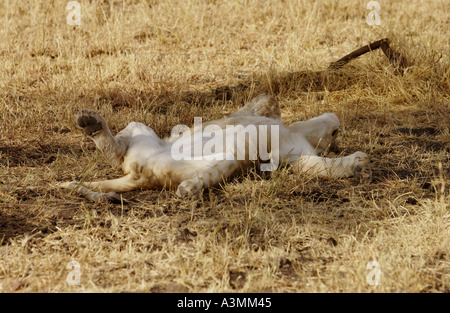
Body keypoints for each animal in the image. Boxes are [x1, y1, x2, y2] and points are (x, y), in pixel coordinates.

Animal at [62, 94, 372, 200]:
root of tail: (141, 176)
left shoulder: (293, 155)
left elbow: (321, 165)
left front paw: (357, 165)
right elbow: (268, 102)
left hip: (227, 160)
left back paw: (189, 189)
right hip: (140, 130)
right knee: (117, 149)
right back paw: (90, 122)